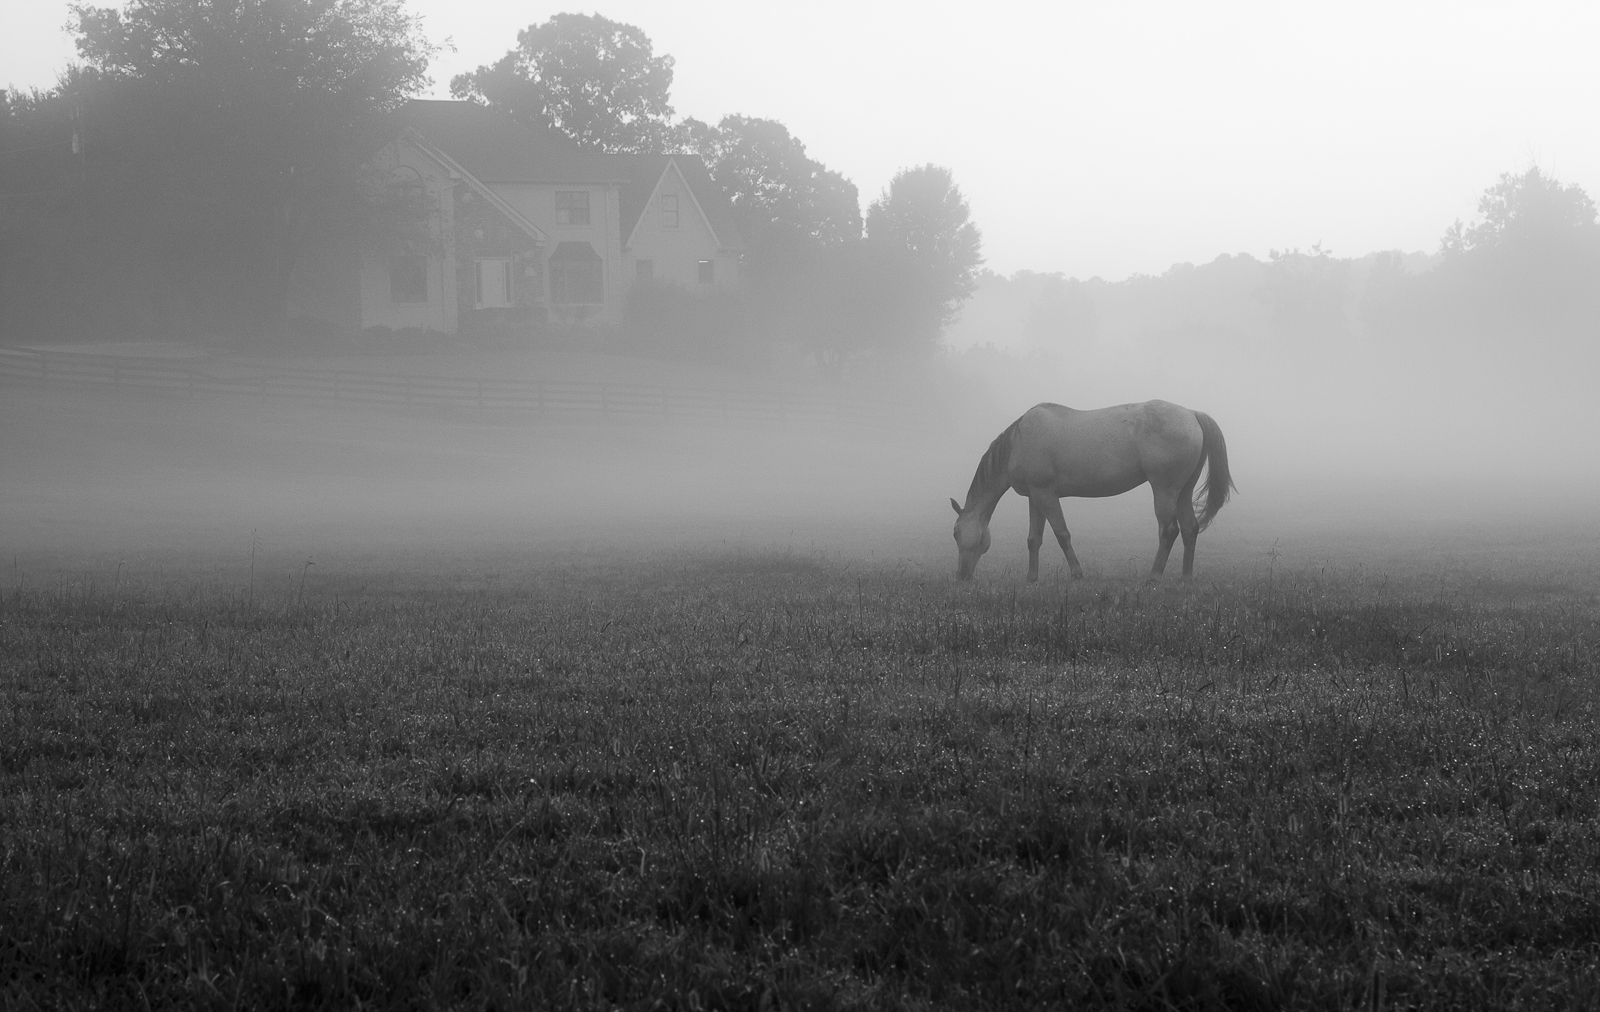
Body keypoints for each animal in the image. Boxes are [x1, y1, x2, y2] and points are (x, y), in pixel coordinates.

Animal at [950, 400, 1233, 581]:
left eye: (955, 533)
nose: (961, 576)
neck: (1018, 441)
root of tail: (1192, 414)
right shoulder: (1035, 497)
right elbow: (1034, 539)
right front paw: (1031, 578)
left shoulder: (1046, 495)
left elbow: (1062, 535)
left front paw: (1077, 574)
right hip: (1183, 491)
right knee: (1189, 529)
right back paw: (1185, 577)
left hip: (1165, 490)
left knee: (1169, 530)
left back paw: (1154, 576)